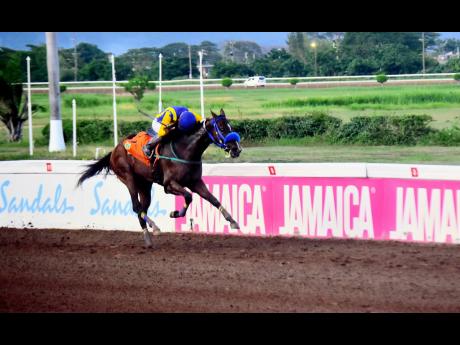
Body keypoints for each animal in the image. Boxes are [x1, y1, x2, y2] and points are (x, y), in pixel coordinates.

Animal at [77, 109, 243, 246]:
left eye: (231, 127)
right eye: (222, 128)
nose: (237, 149)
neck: (186, 150)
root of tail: (114, 150)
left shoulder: (195, 182)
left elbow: (213, 199)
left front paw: (233, 221)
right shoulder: (169, 185)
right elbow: (188, 196)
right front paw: (175, 213)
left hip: (144, 185)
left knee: (142, 209)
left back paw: (148, 237)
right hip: (128, 177)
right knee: (136, 207)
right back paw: (155, 227)